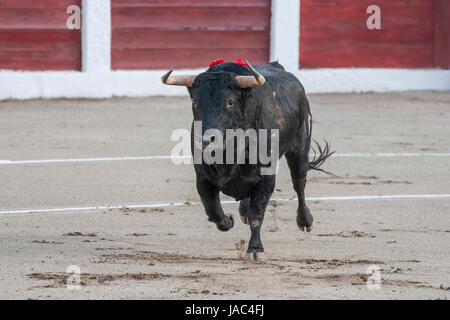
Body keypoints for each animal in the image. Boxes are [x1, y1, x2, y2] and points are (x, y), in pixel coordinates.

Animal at [162, 60, 330, 260]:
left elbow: (258, 214)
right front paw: (229, 220)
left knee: (299, 184)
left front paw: (255, 249)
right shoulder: (202, 178)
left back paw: (305, 221)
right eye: (195, 102)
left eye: (230, 102)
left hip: (300, 149)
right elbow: (213, 211)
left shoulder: (266, 179)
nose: (206, 140)